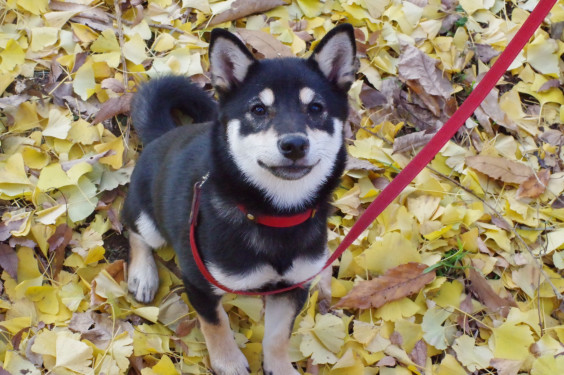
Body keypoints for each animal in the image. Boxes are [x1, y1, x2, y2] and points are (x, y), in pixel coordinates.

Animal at [124, 25, 356, 374]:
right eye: (258, 109)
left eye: (316, 108)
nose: (294, 145)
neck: (275, 214)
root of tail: (163, 135)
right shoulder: (198, 281)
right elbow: (216, 325)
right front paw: (229, 362)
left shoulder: (293, 287)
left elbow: (278, 337)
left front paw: (280, 367)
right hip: (147, 217)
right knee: (134, 231)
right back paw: (143, 274)